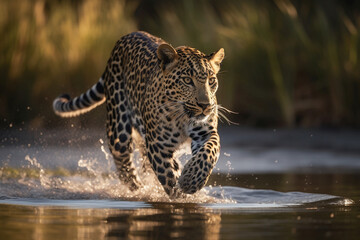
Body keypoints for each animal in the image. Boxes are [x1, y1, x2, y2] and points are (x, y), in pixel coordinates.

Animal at [52, 31, 224, 197]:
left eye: (211, 81)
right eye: (187, 80)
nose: (205, 105)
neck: (182, 117)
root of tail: (127, 36)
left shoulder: (205, 133)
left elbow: (209, 152)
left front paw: (191, 180)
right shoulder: (157, 145)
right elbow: (168, 176)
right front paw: (182, 193)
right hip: (118, 130)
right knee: (123, 165)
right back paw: (138, 189)